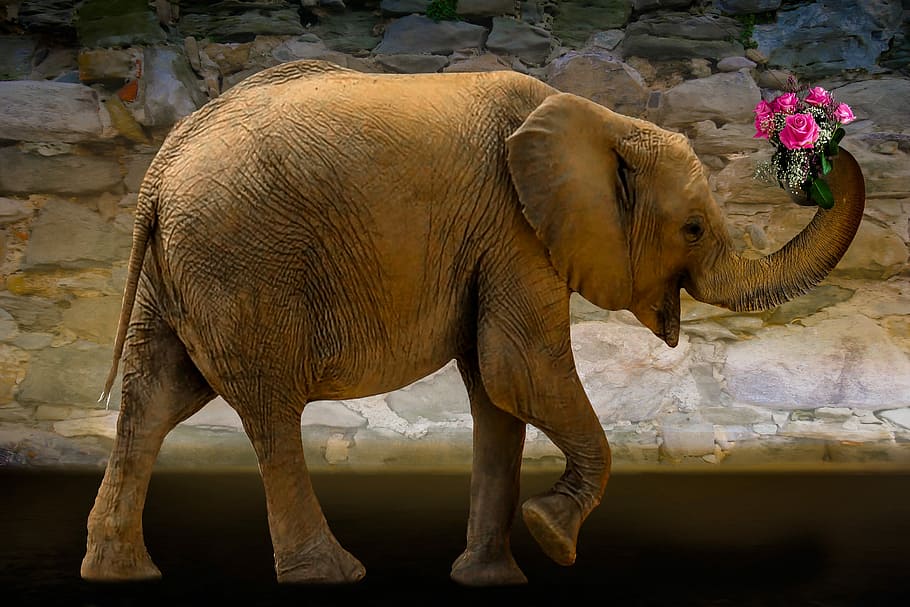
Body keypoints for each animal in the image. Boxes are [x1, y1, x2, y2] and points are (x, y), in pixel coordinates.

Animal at [81, 59, 865, 587]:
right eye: (694, 229)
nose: (813, 130)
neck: (604, 120)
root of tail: (159, 175)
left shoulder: (493, 242)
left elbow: (497, 394)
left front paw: (492, 576)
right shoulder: (514, 231)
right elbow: (519, 370)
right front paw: (553, 537)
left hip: (179, 271)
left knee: (155, 399)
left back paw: (119, 571)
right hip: (244, 264)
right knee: (268, 410)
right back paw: (331, 573)